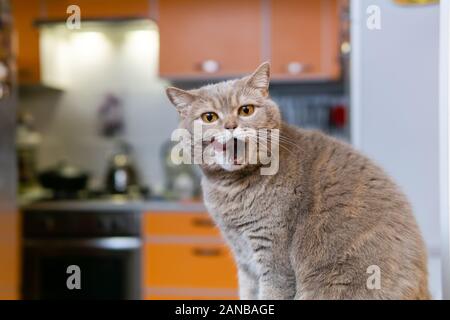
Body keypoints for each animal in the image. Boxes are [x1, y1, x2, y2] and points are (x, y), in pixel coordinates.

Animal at [165, 62, 428, 300]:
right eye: (209, 117)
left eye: (246, 110)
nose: (231, 125)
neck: (230, 188)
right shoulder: (245, 260)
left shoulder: (274, 256)